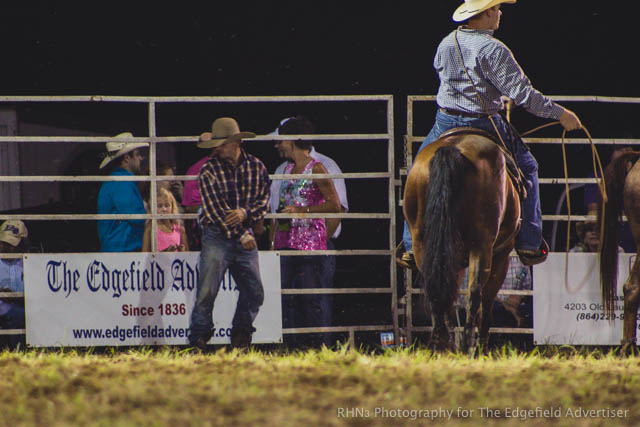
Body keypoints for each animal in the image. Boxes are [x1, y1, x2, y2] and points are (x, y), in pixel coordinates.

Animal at [404, 128, 520, 352]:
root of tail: (452, 149)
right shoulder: (502, 256)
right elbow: (486, 302)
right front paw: (481, 347)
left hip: (423, 243)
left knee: (436, 289)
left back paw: (441, 343)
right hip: (482, 245)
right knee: (475, 293)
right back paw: (468, 345)